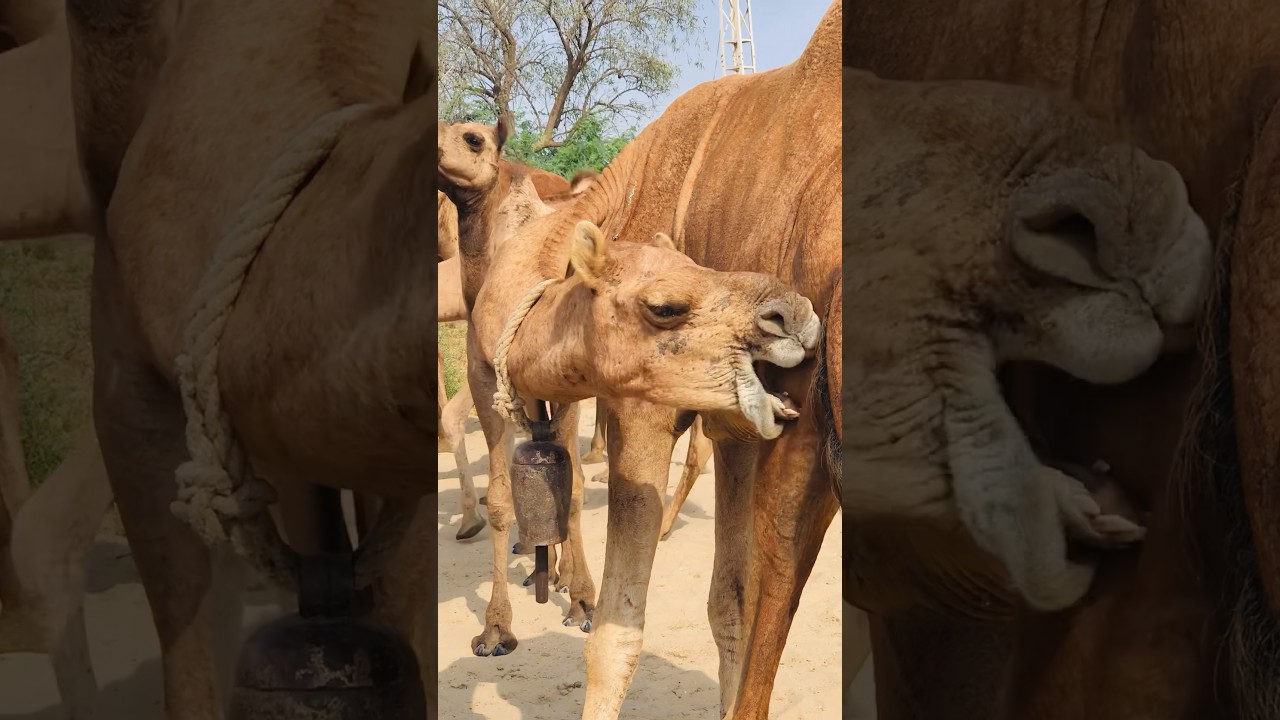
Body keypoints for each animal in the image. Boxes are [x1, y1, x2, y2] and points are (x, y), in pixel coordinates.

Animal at [462, 5, 840, 717]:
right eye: (665, 304)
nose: (796, 315)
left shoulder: (653, 408)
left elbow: (624, 632)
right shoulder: (740, 425)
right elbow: (728, 611)